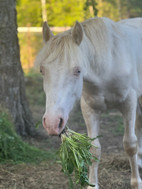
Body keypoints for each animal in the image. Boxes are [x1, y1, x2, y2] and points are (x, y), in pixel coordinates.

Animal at [35, 17, 142, 188]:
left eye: (78, 70)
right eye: (42, 70)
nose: (52, 123)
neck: (107, 66)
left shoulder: (128, 104)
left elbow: (130, 144)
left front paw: (136, 183)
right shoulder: (90, 109)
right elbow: (94, 149)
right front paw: (92, 184)